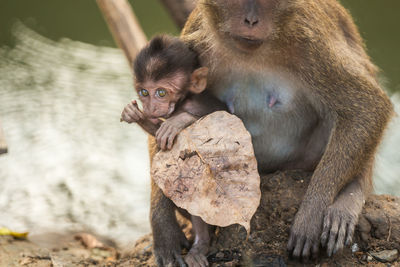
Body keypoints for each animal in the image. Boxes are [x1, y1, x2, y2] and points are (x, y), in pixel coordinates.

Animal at [120, 34, 227, 266]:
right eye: (144, 92)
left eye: (161, 92)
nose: (151, 107)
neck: (183, 101)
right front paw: (136, 115)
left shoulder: (201, 103)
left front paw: (179, 121)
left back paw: (201, 244)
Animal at [149, 0, 394, 264]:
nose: (251, 20)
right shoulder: (194, 40)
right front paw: (163, 226)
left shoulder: (311, 43)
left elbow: (367, 106)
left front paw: (311, 215)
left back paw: (351, 193)